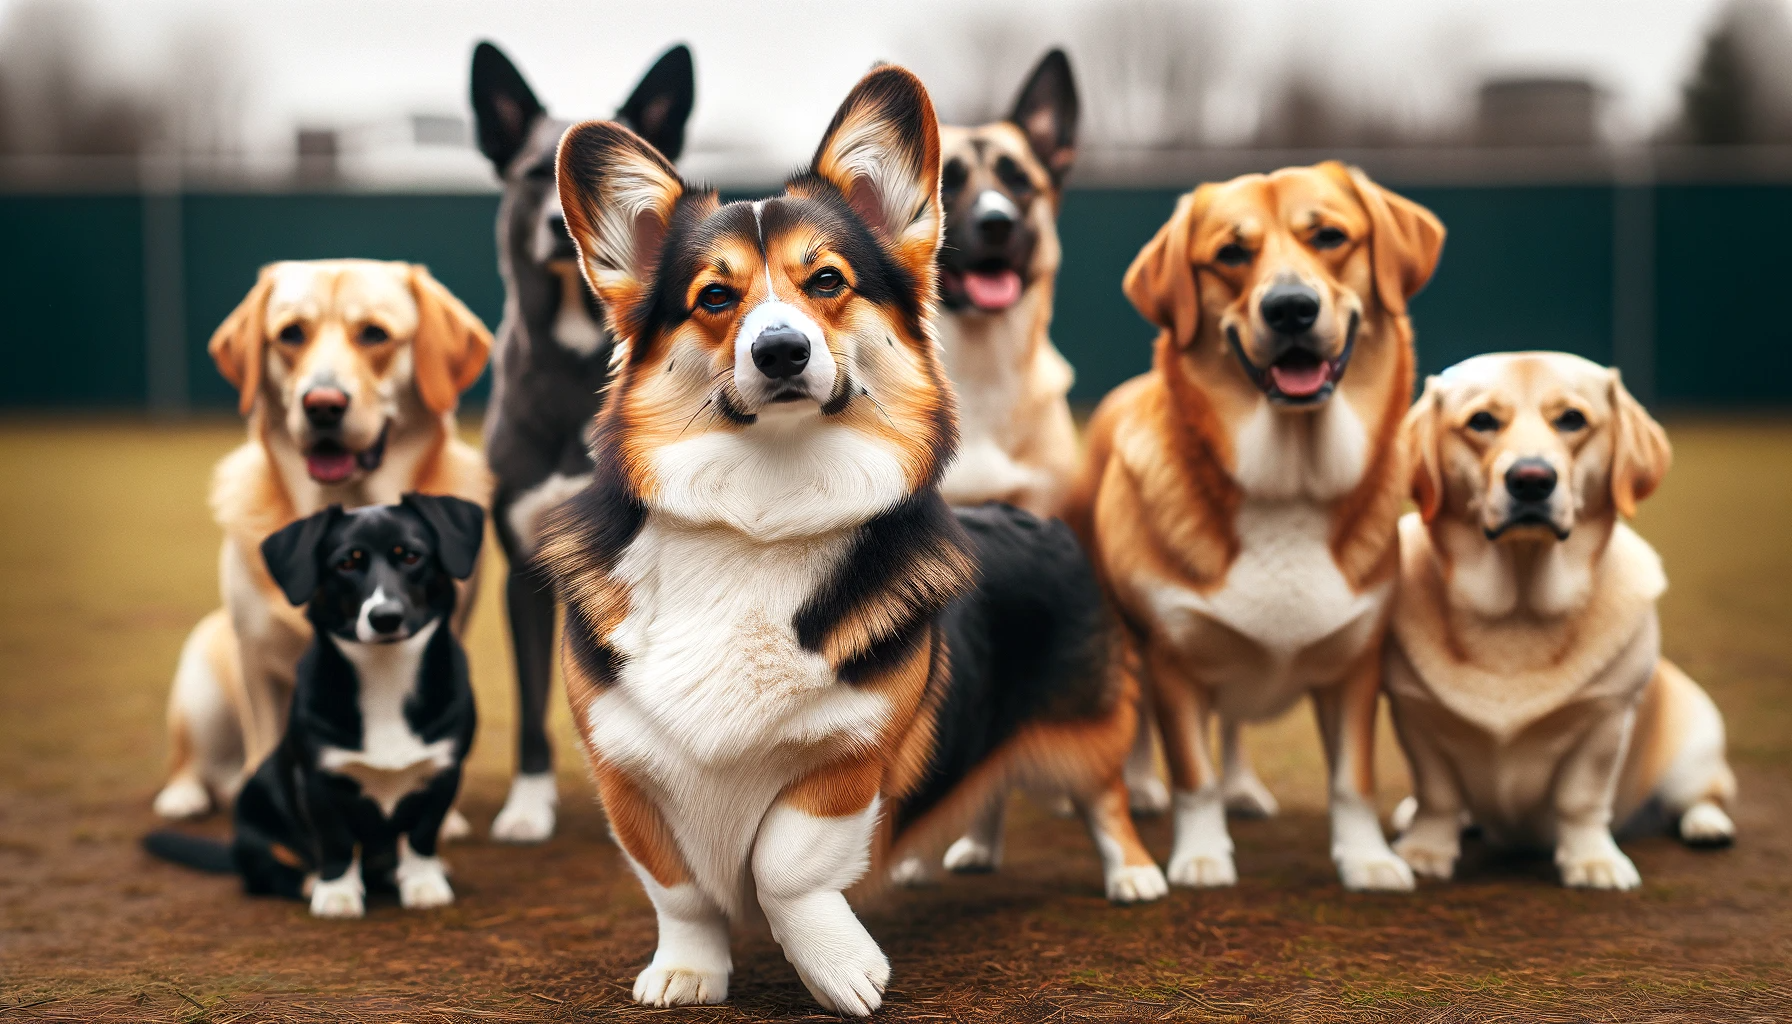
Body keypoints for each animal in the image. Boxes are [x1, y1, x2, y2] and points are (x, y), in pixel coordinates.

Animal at [145, 498, 483, 918]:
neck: (385, 674)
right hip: (252, 798)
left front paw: (423, 883)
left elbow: (422, 836)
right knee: (267, 871)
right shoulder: (319, 782)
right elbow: (335, 842)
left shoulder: (443, 774)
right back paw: (307, 881)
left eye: (410, 556)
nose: (385, 618)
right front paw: (337, 893)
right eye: (347, 563)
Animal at [150, 260, 491, 821]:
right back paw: (184, 795)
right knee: (190, 759)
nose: (323, 405)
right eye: (291, 334)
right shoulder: (258, 664)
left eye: (374, 334)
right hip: (201, 682)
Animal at [1068, 160, 1447, 889]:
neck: (1288, 484)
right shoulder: (1174, 659)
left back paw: (1243, 788)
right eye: (1230, 254)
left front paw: (1367, 859)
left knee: (1236, 724)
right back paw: (1145, 787)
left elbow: (1353, 778)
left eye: (1329, 236)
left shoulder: (1356, 664)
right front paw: (1201, 855)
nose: (1290, 308)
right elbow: (1193, 774)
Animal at [1383, 353, 1734, 889]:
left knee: (1702, 796)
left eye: (1571, 419)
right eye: (1481, 421)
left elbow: (1581, 801)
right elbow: (1438, 797)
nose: (1531, 478)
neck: (1517, 610)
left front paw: (1592, 862)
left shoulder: (1604, 723)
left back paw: (1708, 824)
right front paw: (1426, 851)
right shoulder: (1417, 720)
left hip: (1695, 752)